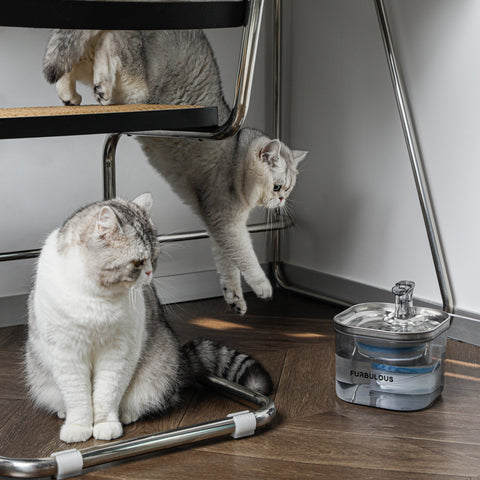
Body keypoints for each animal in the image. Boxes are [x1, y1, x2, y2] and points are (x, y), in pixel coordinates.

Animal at [25, 194, 274, 442]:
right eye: (137, 262)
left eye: (154, 258)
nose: (149, 274)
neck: (97, 296)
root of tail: (181, 359)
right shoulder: (66, 353)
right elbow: (78, 396)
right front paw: (78, 427)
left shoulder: (119, 351)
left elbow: (107, 392)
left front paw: (106, 424)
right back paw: (63, 411)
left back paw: (127, 413)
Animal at [42, 30, 308, 316]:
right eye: (277, 187)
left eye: (288, 189)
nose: (281, 200)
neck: (235, 157)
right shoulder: (227, 222)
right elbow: (244, 255)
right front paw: (262, 286)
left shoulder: (216, 224)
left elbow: (227, 263)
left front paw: (234, 296)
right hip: (138, 90)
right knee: (110, 44)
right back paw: (100, 84)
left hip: (91, 62)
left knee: (75, 58)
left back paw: (69, 94)